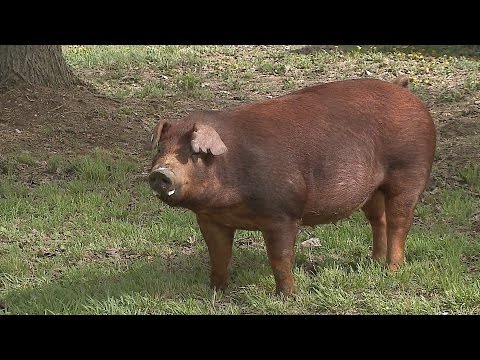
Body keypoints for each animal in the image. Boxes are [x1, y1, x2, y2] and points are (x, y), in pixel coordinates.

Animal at [146, 75, 436, 296]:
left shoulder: (282, 214)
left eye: (193, 153)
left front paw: (286, 296)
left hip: (410, 172)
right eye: (160, 149)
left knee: (400, 221)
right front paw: (216, 290)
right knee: (379, 221)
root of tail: (402, 89)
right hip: (373, 190)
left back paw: (391, 270)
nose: (160, 173)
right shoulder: (210, 219)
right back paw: (373, 262)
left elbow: (280, 257)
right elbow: (218, 254)